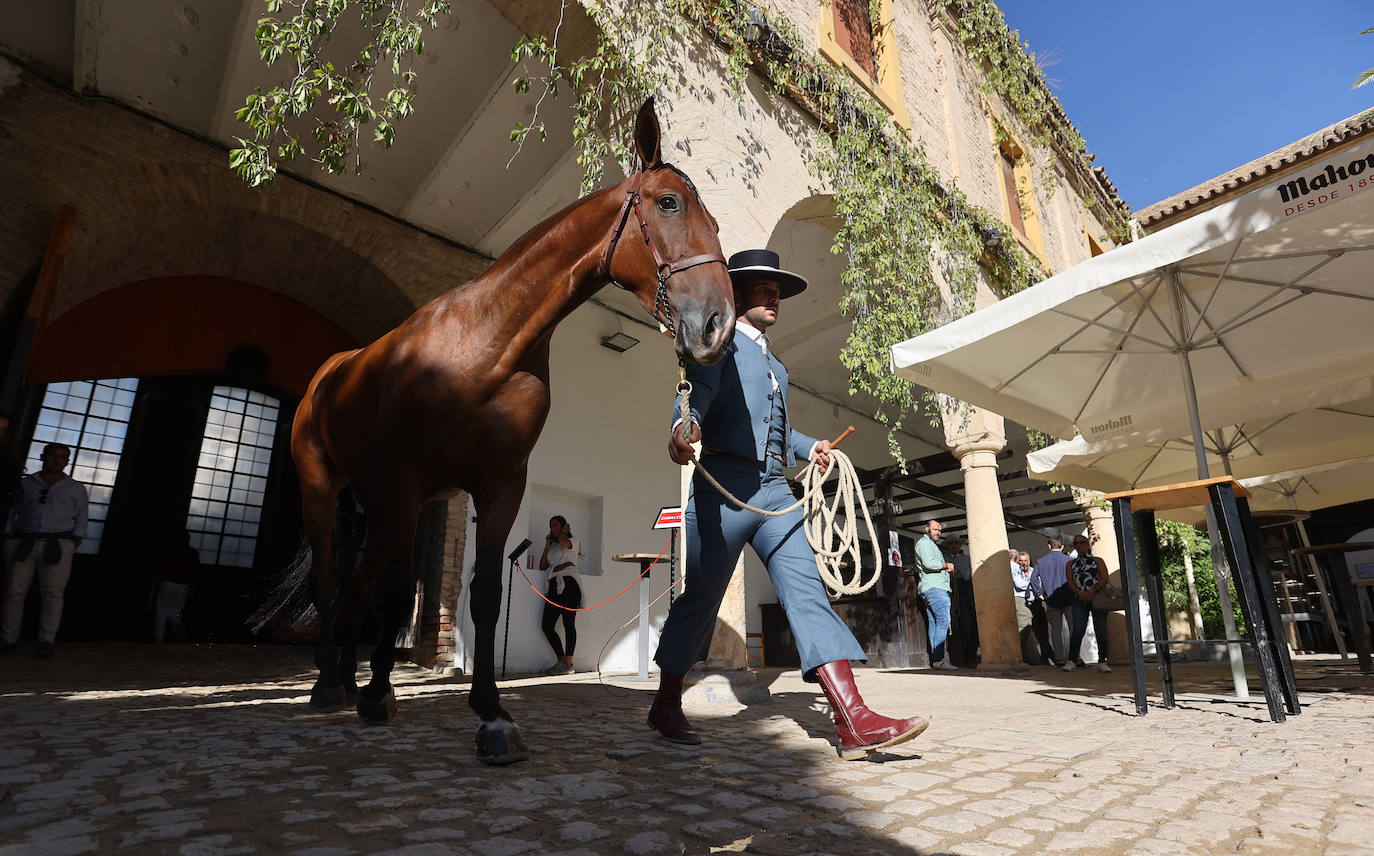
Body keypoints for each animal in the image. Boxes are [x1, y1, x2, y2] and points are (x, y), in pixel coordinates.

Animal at [285, 100, 736, 763]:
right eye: (669, 203)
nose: (717, 325)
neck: (486, 344)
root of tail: (331, 373)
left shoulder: (499, 486)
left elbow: (484, 592)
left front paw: (491, 715)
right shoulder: (408, 483)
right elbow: (398, 592)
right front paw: (380, 696)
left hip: (379, 504)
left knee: (358, 585)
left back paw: (346, 678)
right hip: (325, 490)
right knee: (329, 578)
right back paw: (329, 686)